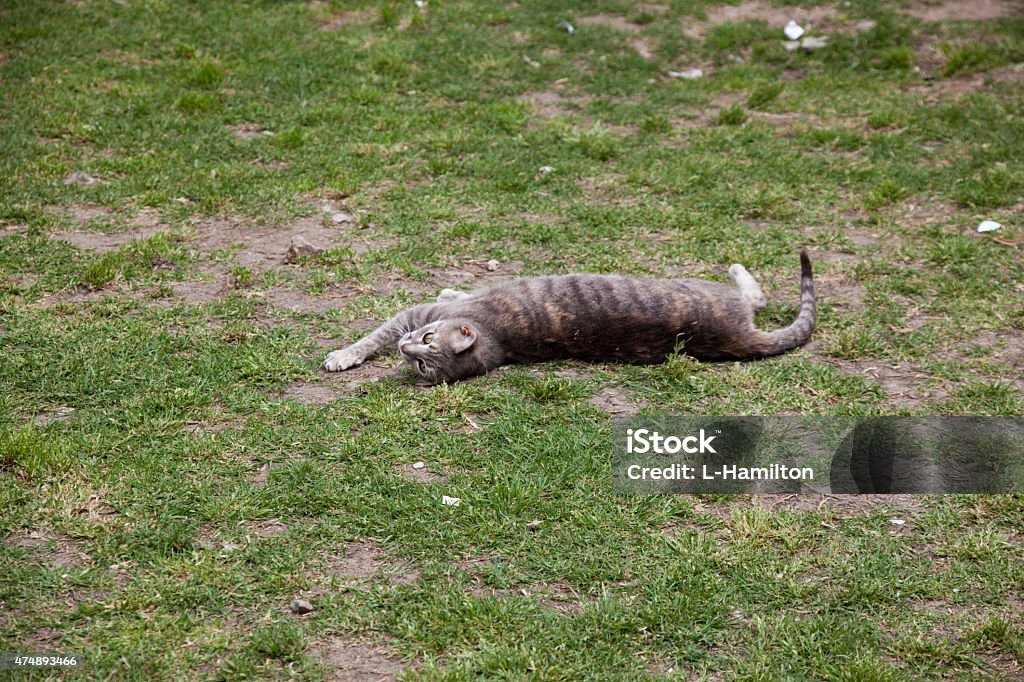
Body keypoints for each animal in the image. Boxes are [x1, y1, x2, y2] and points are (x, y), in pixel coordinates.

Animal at [323, 248, 819, 382]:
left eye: (426, 346)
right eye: (421, 366)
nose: (407, 349)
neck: (495, 339)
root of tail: (740, 338)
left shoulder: (415, 313)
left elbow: (372, 336)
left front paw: (344, 355)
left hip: (709, 289)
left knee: (755, 296)